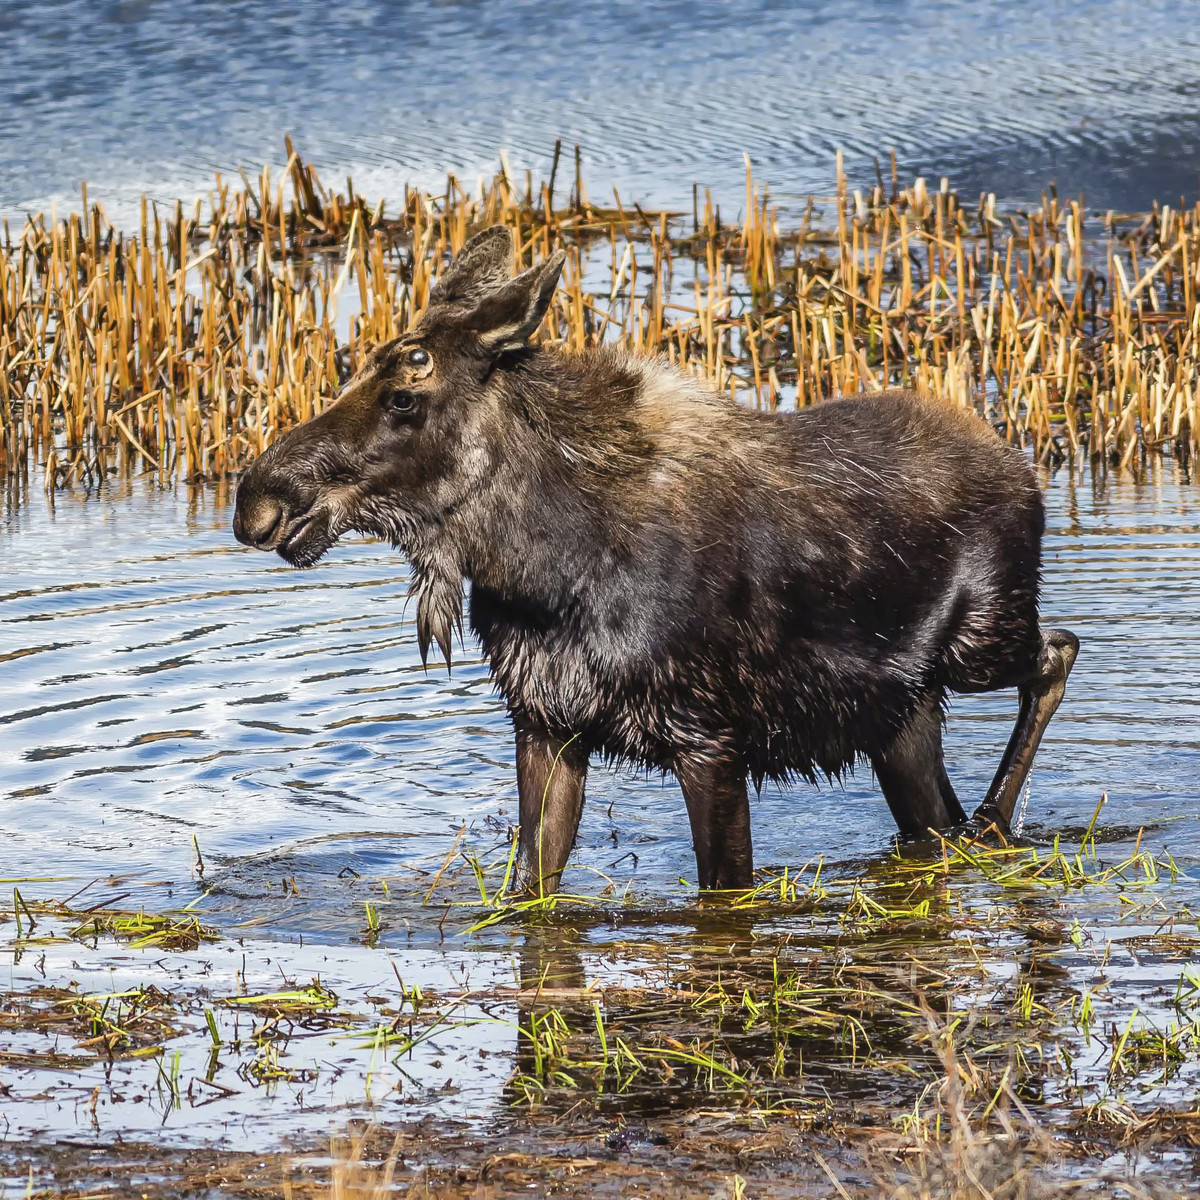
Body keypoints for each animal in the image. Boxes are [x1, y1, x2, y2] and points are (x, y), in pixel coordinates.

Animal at [231, 229, 1080, 897]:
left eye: (407, 391)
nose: (259, 500)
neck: (538, 568)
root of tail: (1020, 466)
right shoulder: (544, 724)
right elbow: (531, 884)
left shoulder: (708, 738)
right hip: (899, 714)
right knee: (931, 812)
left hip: (980, 640)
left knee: (1056, 652)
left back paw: (995, 820)